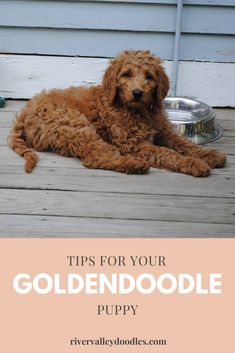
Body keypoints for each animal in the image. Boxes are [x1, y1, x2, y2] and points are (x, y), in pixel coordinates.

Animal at [9, 49, 226, 176]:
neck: (138, 111)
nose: (137, 93)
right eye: (126, 75)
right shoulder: (132, 144)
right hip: (75, 125)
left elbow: (185, 144)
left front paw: (210, 155)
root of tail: (25, 112)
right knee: (95, 157)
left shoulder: (165, 132)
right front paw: (194, 164)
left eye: (149, 76)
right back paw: (134, 164)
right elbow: (166, 152)